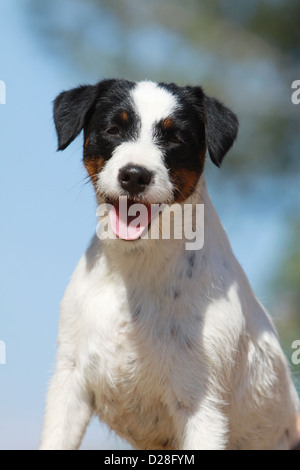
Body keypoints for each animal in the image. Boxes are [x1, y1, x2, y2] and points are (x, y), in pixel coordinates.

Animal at [40, 79, 300, 450]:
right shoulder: (70, 382)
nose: (135, 175)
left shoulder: (201, 408)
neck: (135, 268)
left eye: (176, 137)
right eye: (113, 129)